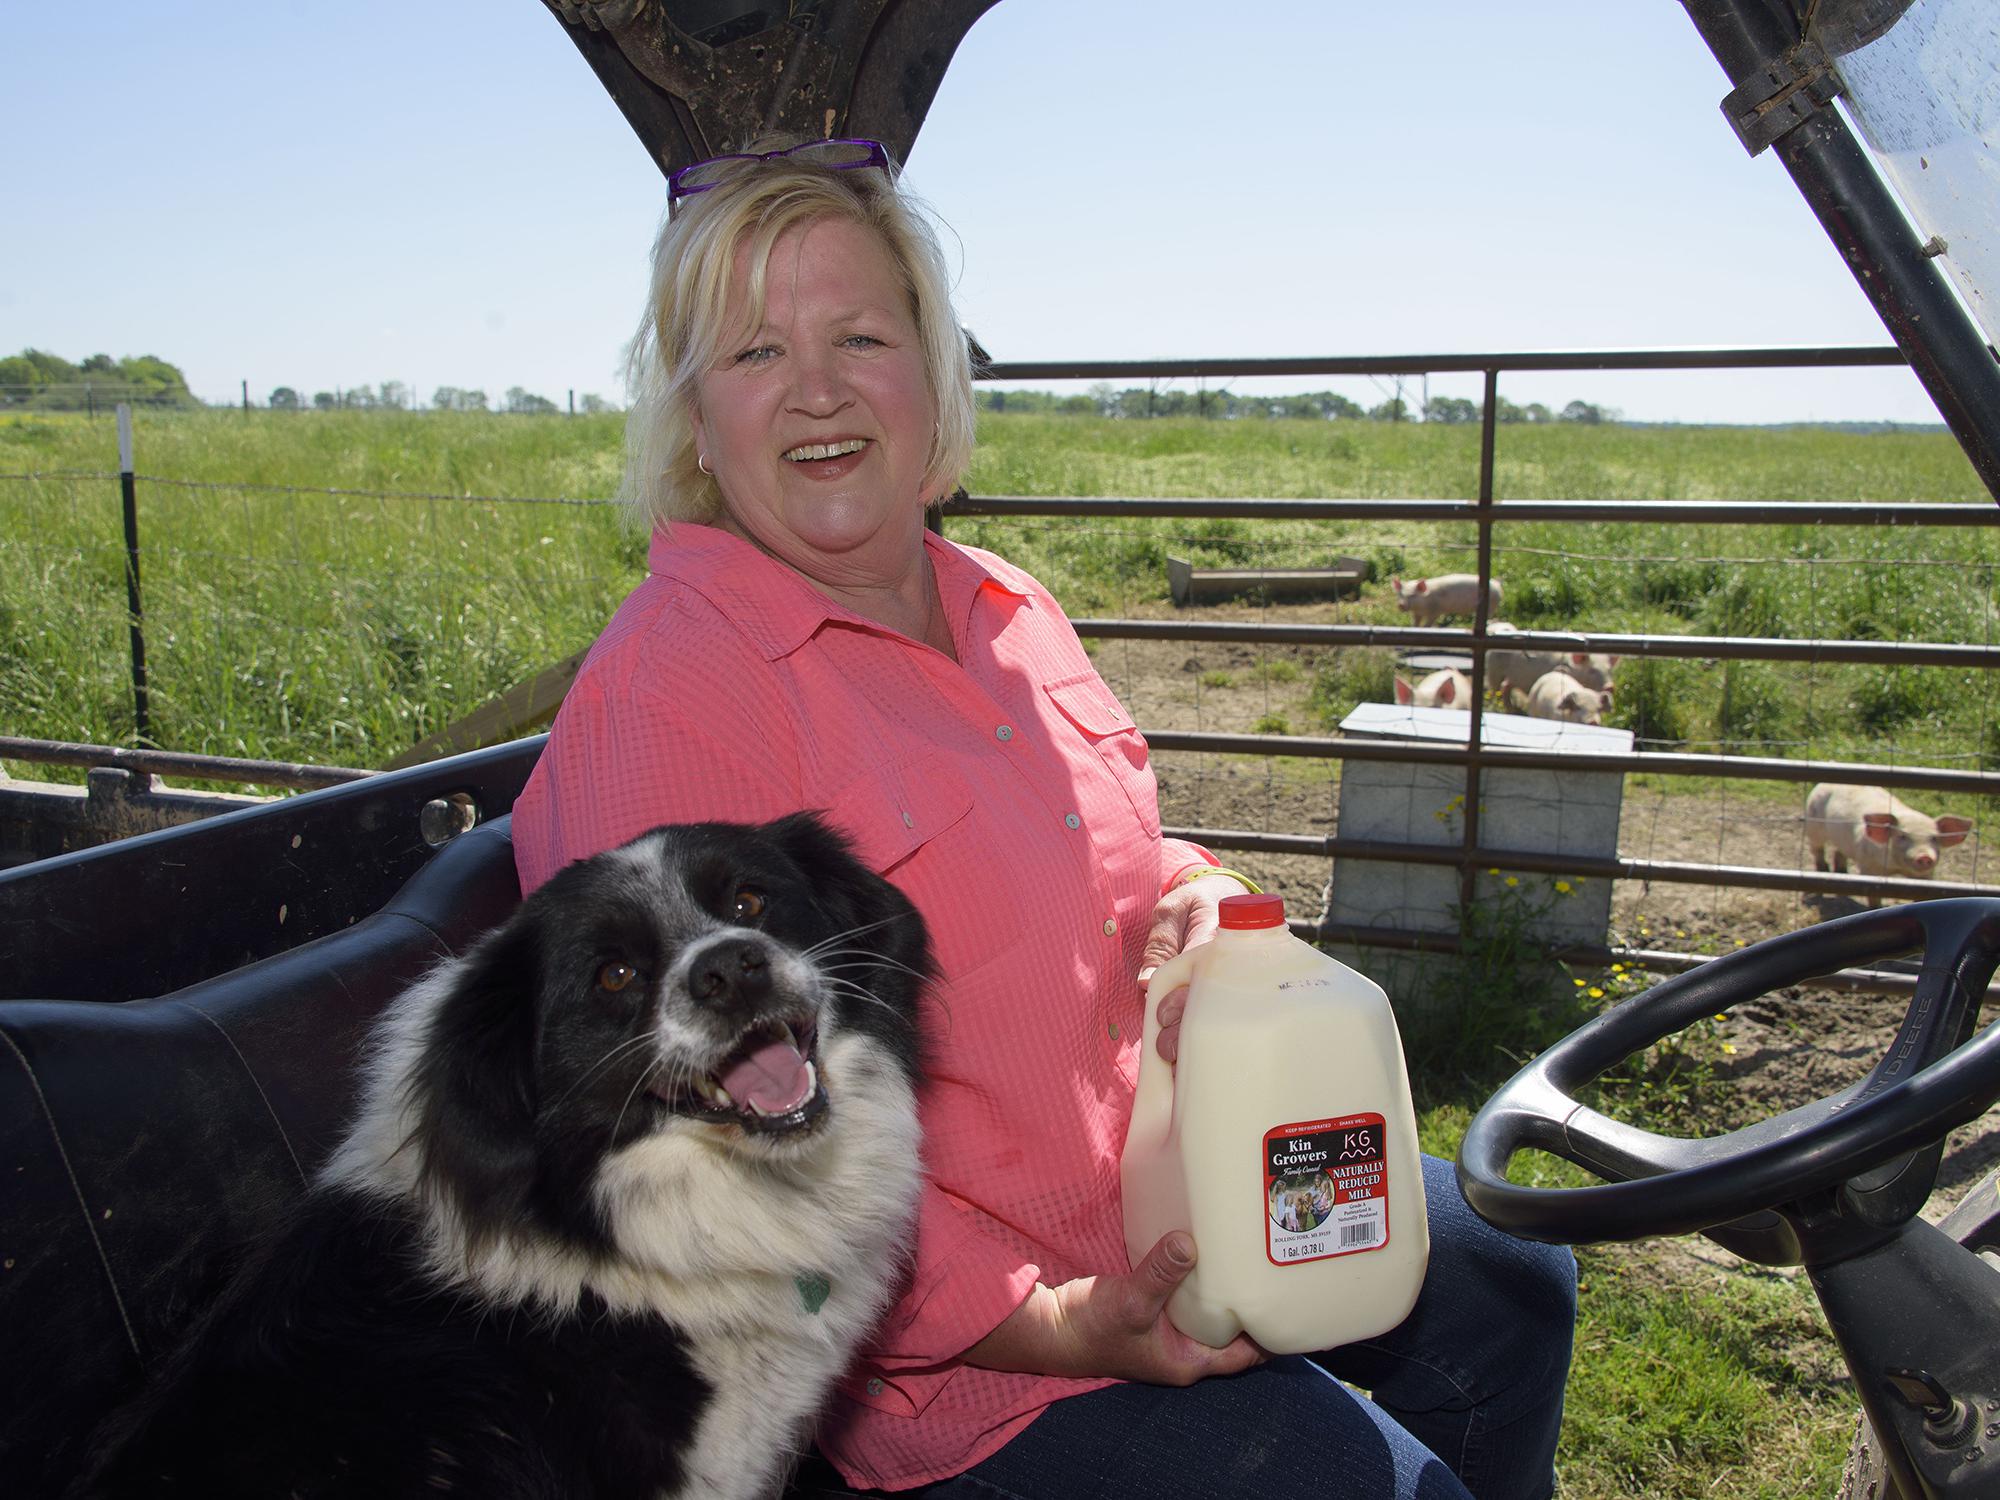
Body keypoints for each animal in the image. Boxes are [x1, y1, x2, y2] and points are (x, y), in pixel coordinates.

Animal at [1808, 788, 1976, 904]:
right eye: (1902, 836)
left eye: (1934, 838)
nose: (1924, 856)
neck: (1896, 869)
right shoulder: (1869, 869)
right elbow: (1874, 899)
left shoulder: (1926, 877)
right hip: (1814, 823)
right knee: (1817, 850)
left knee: (1839, 852)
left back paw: (1842, 877)